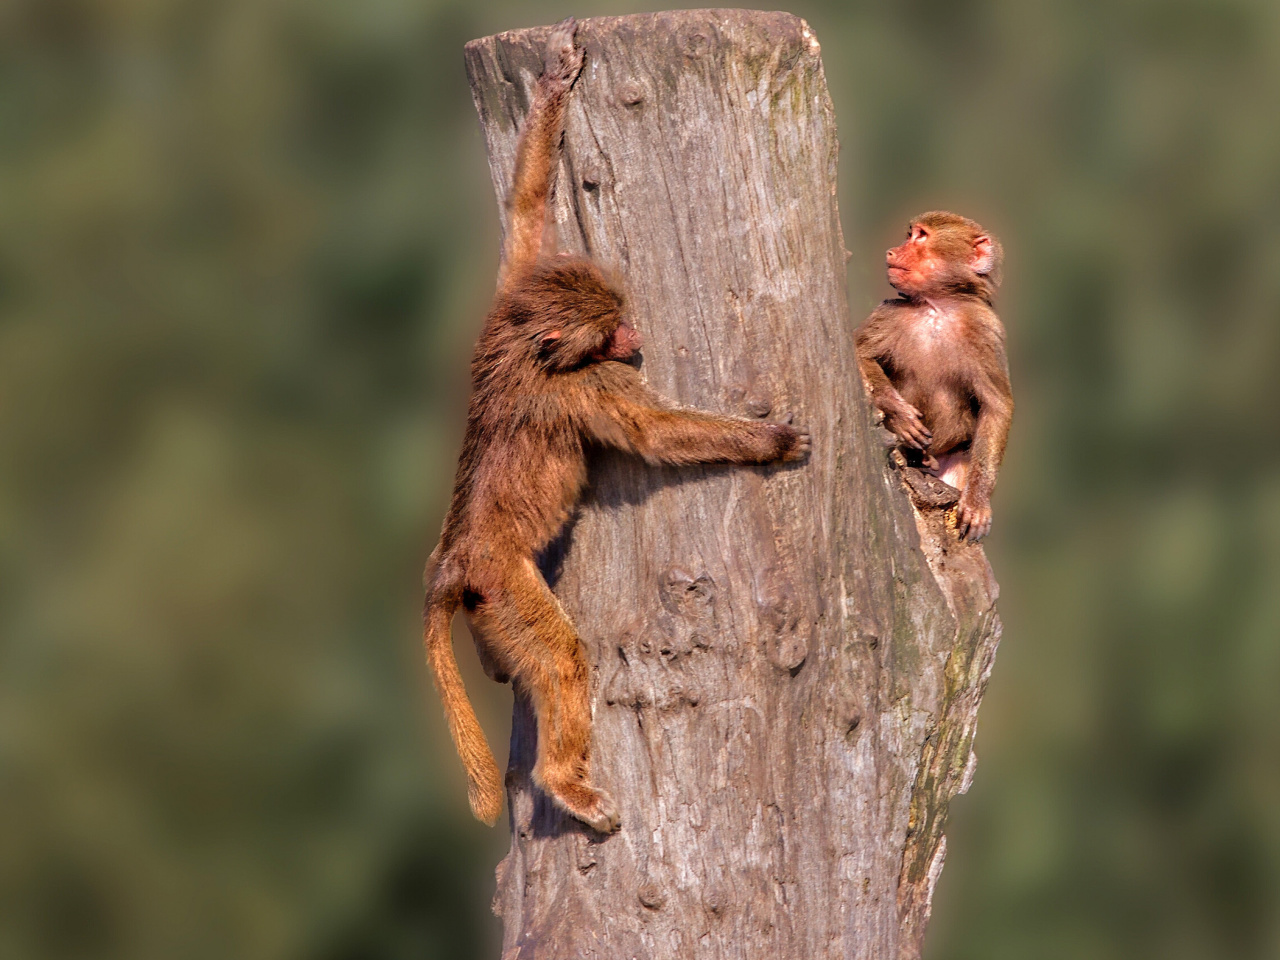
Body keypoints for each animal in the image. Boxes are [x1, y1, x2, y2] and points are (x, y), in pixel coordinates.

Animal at [422, 20, 808, 834]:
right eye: (608, 334)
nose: (634, 336)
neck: (524, 344)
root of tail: (453, 559)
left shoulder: (513, 289)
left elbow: (527, 209)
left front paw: (556, 80)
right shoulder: (584, 386)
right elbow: (654, 432)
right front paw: (770, 443)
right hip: (503, 587)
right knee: (562, 658)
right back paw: (567, 784)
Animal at [855, 212, 1013, 542]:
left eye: (921, 236)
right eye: (910, 234)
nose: (891, 251)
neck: (936, 307)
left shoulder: (986, 330)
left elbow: (997, 406)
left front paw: (978, 503)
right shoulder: (888, 313)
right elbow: (860, 354)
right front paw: (899, 414)